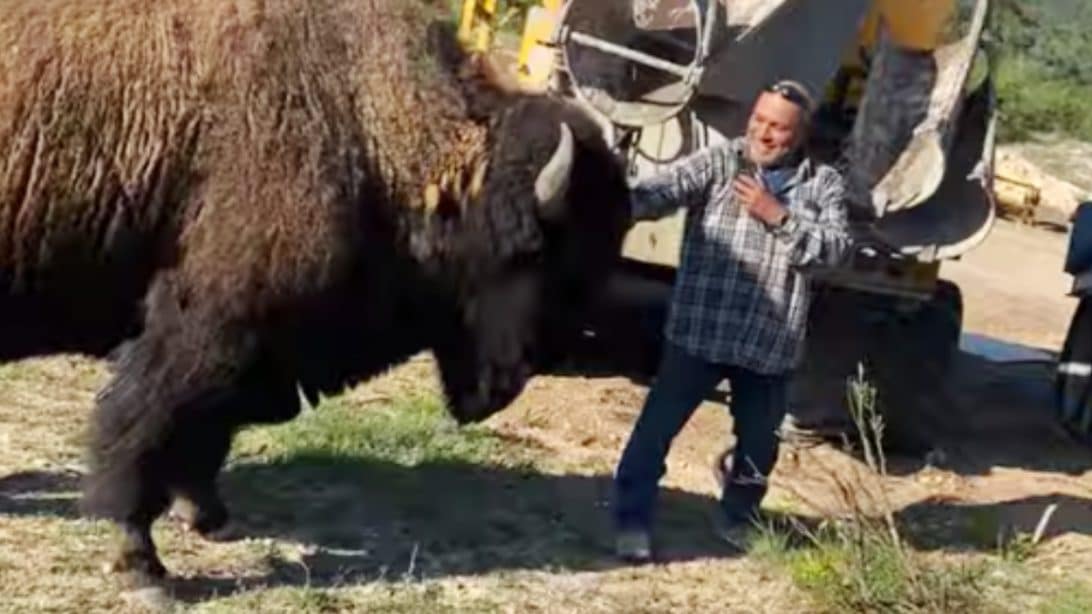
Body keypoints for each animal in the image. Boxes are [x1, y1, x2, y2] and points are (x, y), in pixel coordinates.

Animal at [0, 0, 630, 590]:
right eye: (533, 250)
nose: (505, 386)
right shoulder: (203, 334)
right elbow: (141, 431)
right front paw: (142, 563)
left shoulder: (250, 352)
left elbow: (205, 435)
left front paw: (206, 516)